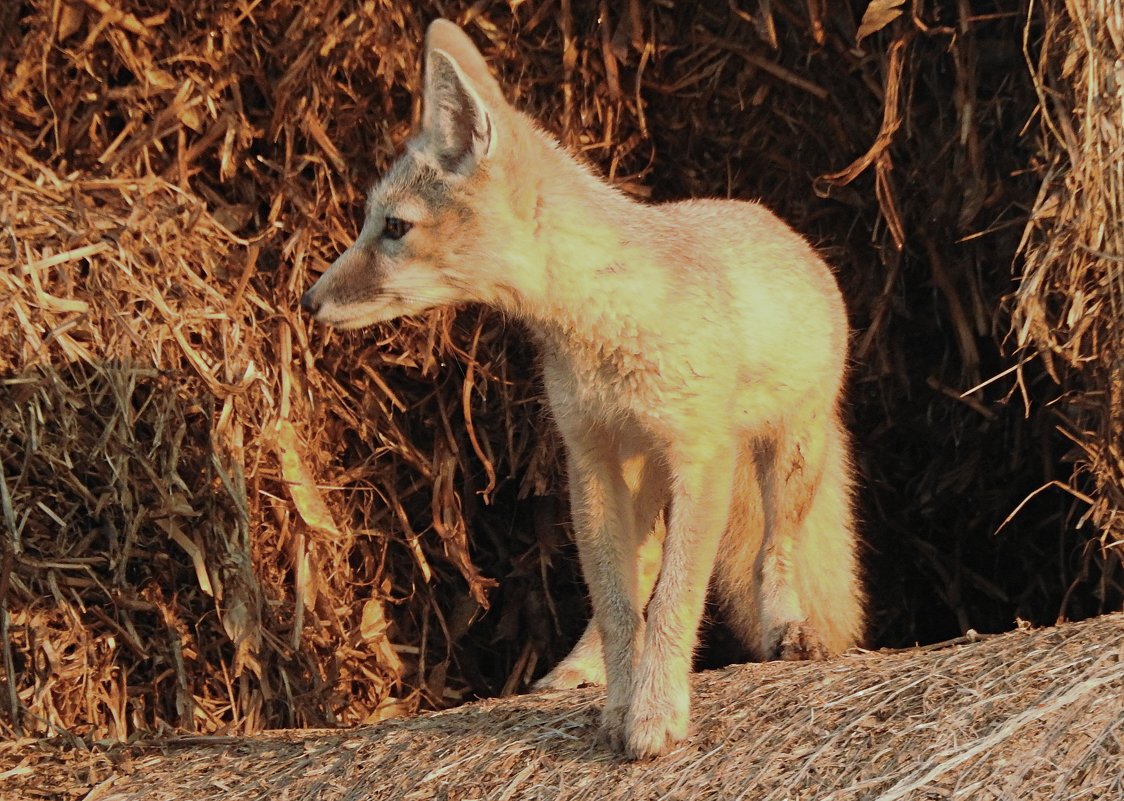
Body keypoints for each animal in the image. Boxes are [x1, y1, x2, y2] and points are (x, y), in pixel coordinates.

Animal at [303, 17, 863, 754]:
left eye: (393, 228)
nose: (308, 301)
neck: (606, 320)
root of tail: (775, 223)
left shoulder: (700, 457)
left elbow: (679, 598)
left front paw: (656, 713)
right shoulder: (589, 457)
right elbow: (622, 602)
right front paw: (622, 704)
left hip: (786, 456)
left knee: (775, 550)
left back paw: (787, 630)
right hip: (644, 475)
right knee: (642, 566)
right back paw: (579, 669)